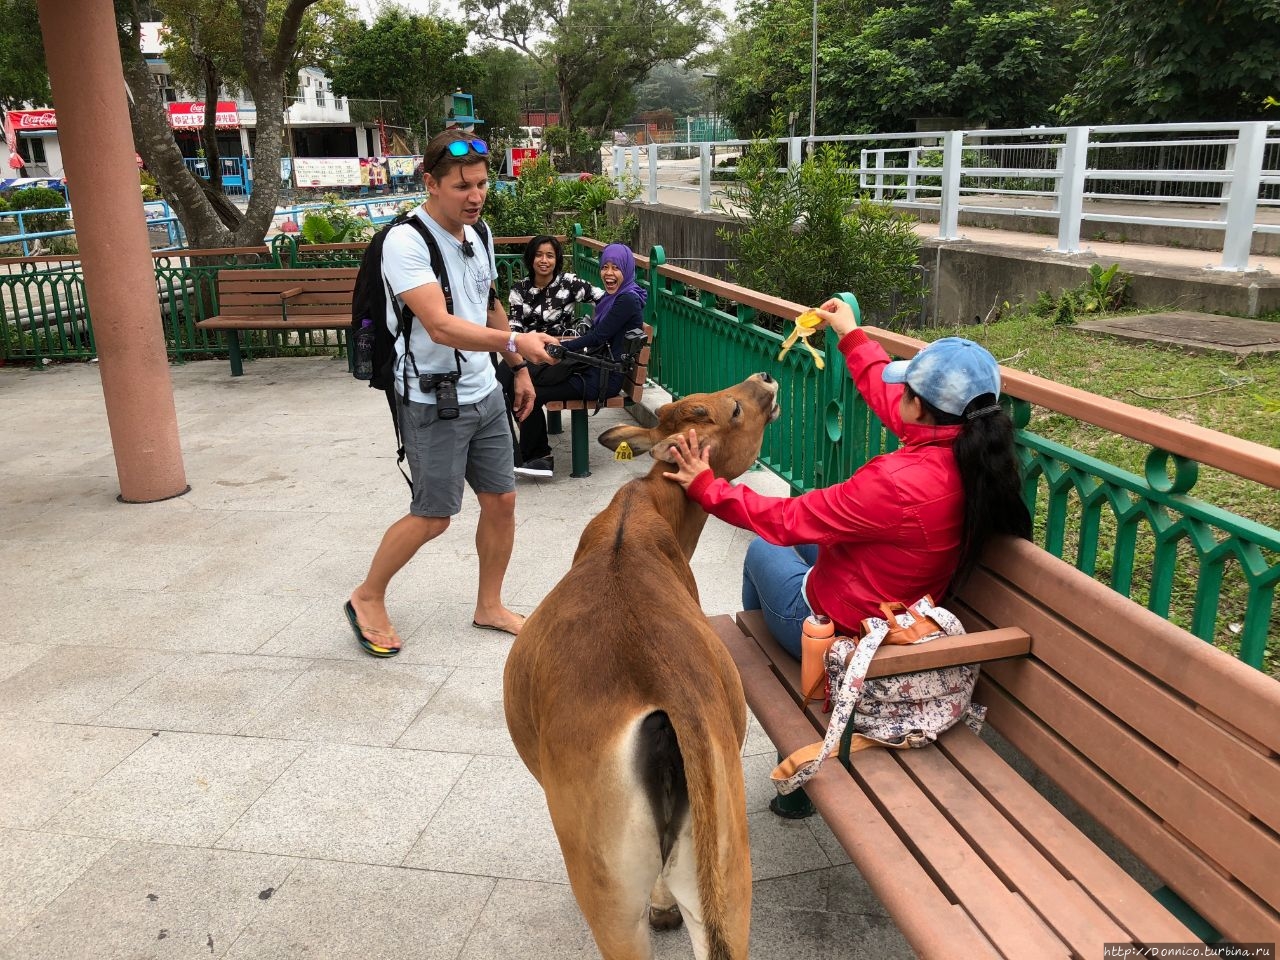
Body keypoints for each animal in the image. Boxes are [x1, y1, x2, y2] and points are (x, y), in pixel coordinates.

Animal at [504, 376, 773, 960]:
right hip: (727, 869)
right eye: (733, 407)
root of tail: (668, 687)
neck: (646, 507)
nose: (763, 381)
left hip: (606, 883)